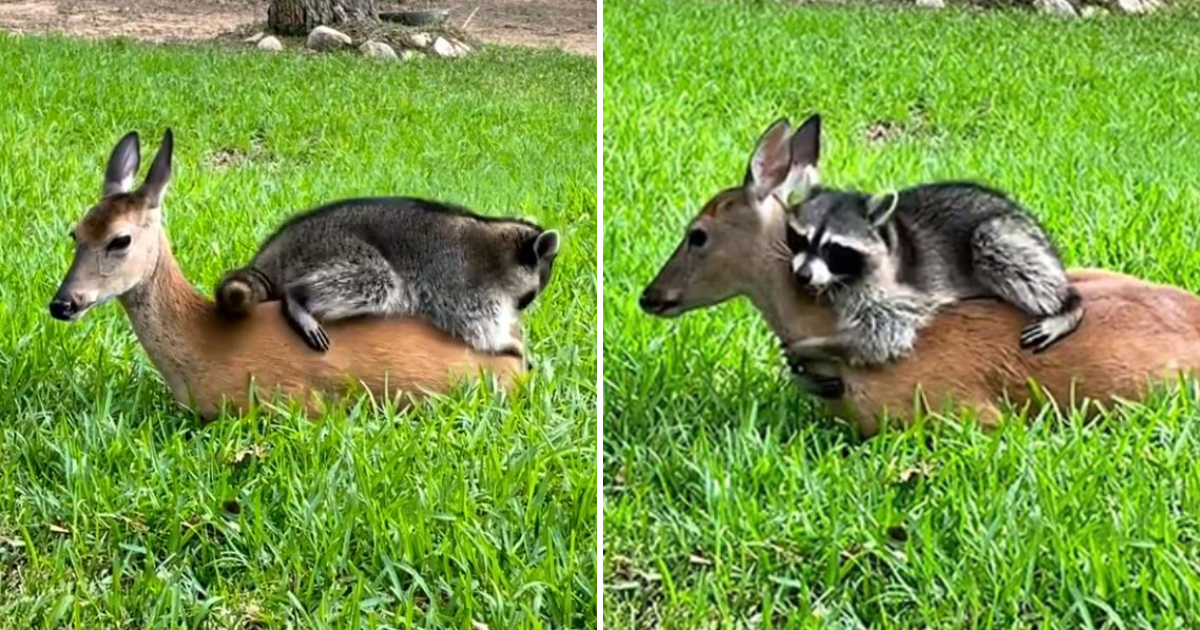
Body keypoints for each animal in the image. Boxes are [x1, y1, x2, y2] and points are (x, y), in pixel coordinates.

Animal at [216, 196, 561, 352]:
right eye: (533, 293)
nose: (523, 307)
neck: (497, 240)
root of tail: (279, 245)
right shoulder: (461, 277)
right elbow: (473, 323)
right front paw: (504, 343)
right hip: (337, 248)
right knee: (377, 281)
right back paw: (297, 298)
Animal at [782, 181, 1084, 364]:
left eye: (834, 249)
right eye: (801, 239)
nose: (803, 275)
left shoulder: (898, 289)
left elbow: (886, 333)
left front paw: (820, 345)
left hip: (1005, 234)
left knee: (1001, 248)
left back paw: (1068, 303)